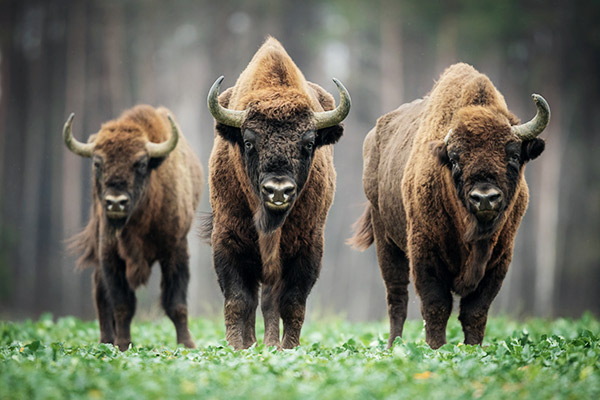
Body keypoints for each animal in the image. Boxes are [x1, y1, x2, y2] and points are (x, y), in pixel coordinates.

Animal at [63, 105, 203, 350]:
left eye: (141, 163)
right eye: (97, 163)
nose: (115, 202)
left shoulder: (176, 250)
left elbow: (176, 304)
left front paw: (187, 345)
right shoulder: (110, 254)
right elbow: (122, 304)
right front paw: (122, 344)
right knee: (101, 294)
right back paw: (106, 341)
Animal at [205, 38, 350, 350]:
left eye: (309, 143)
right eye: (249, 142)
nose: (278, 191)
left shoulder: (307, 247)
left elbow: (291, 303)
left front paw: (287, 348)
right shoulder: (227, 240)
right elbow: (238, 301)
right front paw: (236, 347)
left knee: (271, 302)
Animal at [350, 64, 552, 348]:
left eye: (513, 155)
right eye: (456, 159)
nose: (485, 197)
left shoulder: (499, 259)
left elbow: (475, 311)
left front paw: (473, 349)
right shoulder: (425, 254)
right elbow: (436, 306)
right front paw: (437, 349)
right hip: (386, 240)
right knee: (397, 298)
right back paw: (393, 346)